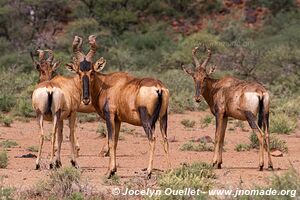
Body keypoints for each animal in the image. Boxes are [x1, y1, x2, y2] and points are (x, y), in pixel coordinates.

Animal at [67, 34, 171, 178]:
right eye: (79, 72)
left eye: (92, 71)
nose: (86, 99)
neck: (107, 84)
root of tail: (159, 88)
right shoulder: (118, 120)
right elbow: (115, 142)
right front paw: (113, 170)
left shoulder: (110, 116)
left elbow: (110, 141)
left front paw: (109, 172)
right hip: (163, 117)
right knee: (165, 139)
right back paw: (168, 170)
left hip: (146, 120)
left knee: (152, 139)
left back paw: (148, 172)